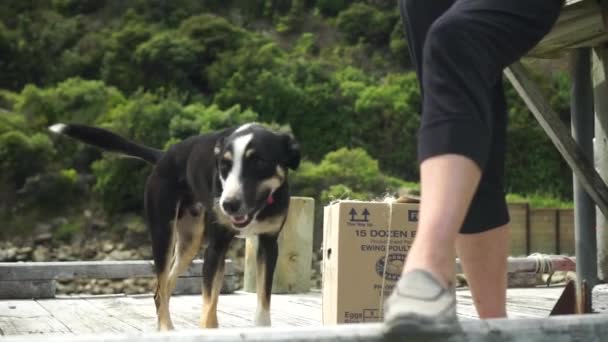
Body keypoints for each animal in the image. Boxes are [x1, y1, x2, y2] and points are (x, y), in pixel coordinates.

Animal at [48, 122, 300, 328]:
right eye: (224, 166)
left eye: (259, 162)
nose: (228, 205)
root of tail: (164, 155)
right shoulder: (216, 247)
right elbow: (208, 305)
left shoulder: (268, 245)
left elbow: (262, 300)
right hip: (163, 234)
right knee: (162, 287)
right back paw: (166, 329)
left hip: (190, 242)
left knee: (166, 286)